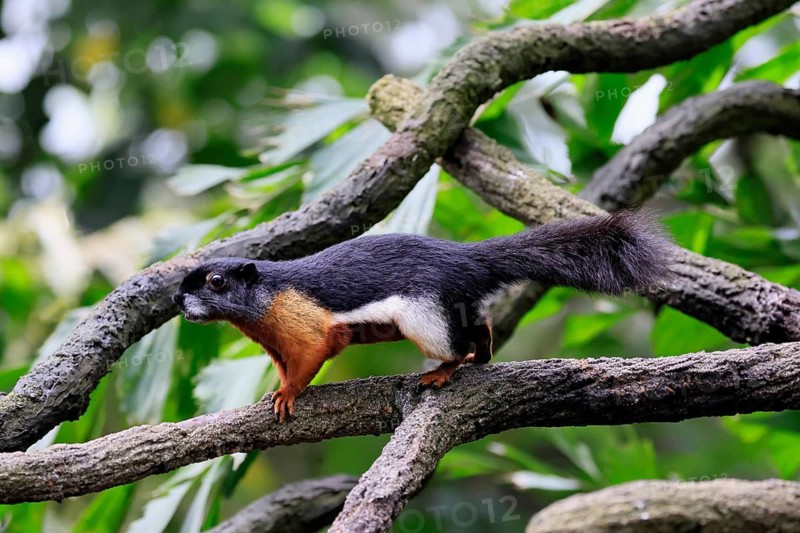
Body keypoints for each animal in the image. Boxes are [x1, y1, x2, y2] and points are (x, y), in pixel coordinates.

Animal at [173, 211, 672, 420]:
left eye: (216, 281)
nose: (177, 300)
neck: (267, 299)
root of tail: (467, 262)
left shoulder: (305, 326)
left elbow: (311, 357)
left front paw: (288, 395)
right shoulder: (276, 344)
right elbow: (283, 366)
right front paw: (274, 391)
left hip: (425, 316)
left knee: (457, 344)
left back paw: (444, 371)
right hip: (453, 306)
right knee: (480, 327)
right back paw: (482, 354)